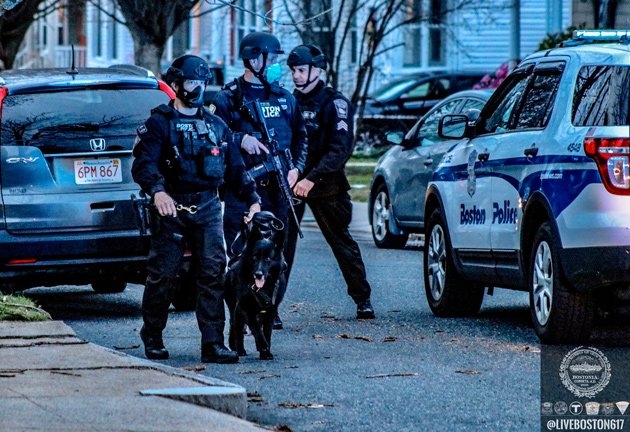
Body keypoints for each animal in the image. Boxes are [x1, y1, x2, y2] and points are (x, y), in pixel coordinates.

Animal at [225, 211, 286, 360]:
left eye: (268, 259)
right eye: (255, 257)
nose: (258, 274)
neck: (261, 288)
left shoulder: (270, 312)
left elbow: (267, 332)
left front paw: (266, 351)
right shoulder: (247, 309)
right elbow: (258, 331)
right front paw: (263, 348)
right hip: (236, 308)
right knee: (235, 326)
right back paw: (238, 349)